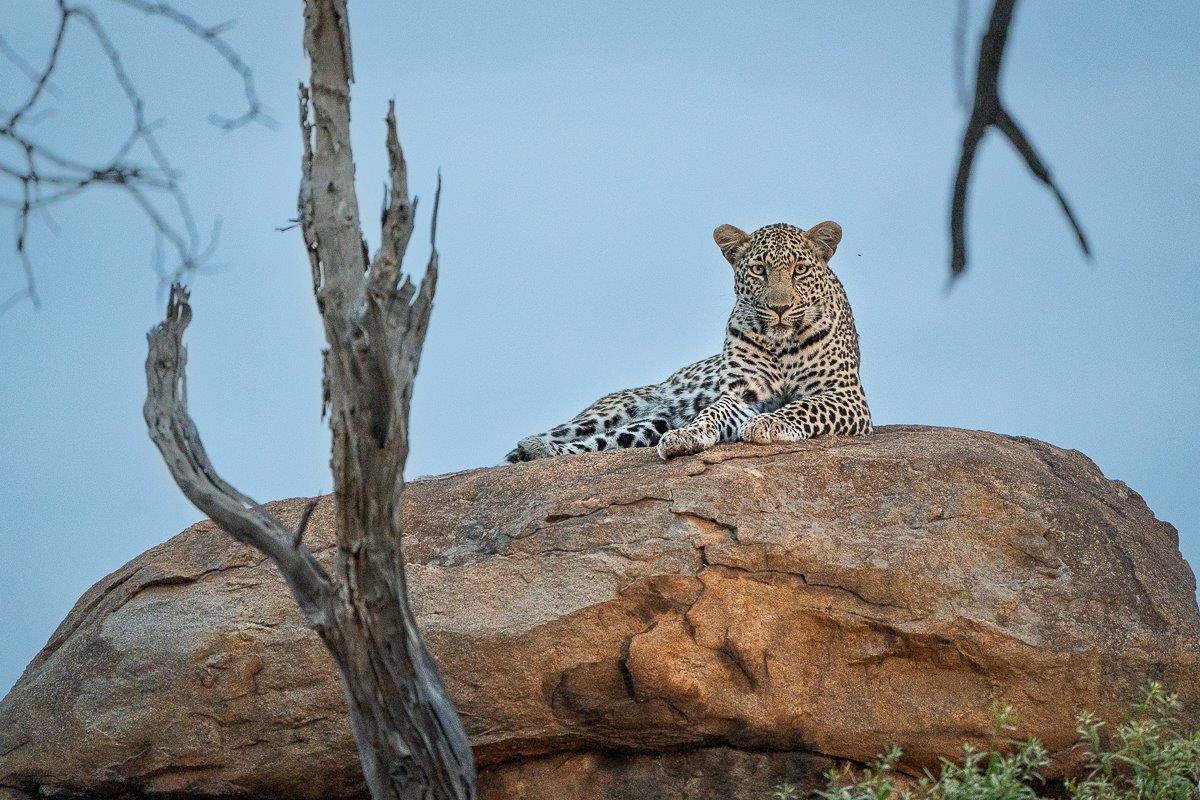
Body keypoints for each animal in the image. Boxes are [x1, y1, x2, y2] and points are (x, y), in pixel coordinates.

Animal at [504, 220, 872, 463]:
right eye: (759, 270)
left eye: (799, 270)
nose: (779, 308)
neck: (781, 344)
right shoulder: (742, 393)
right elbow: (714, 410)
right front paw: (688, 434)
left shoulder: (847, 395)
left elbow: (804, 406)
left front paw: (767, 423)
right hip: (614, 410)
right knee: (561, 434)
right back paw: (535, 447)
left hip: (648, 425)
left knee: (605, 441)